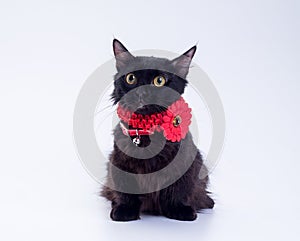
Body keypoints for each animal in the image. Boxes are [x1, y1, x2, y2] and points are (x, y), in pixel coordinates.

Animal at [102, 38, 214, 221]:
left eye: (159, 81)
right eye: (131, 78)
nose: (141, 92)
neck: (147, 134)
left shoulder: (185, 163)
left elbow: (177, 190)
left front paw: (179, 210)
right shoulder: (119, 162)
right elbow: (126, 191)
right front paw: (124, 211)